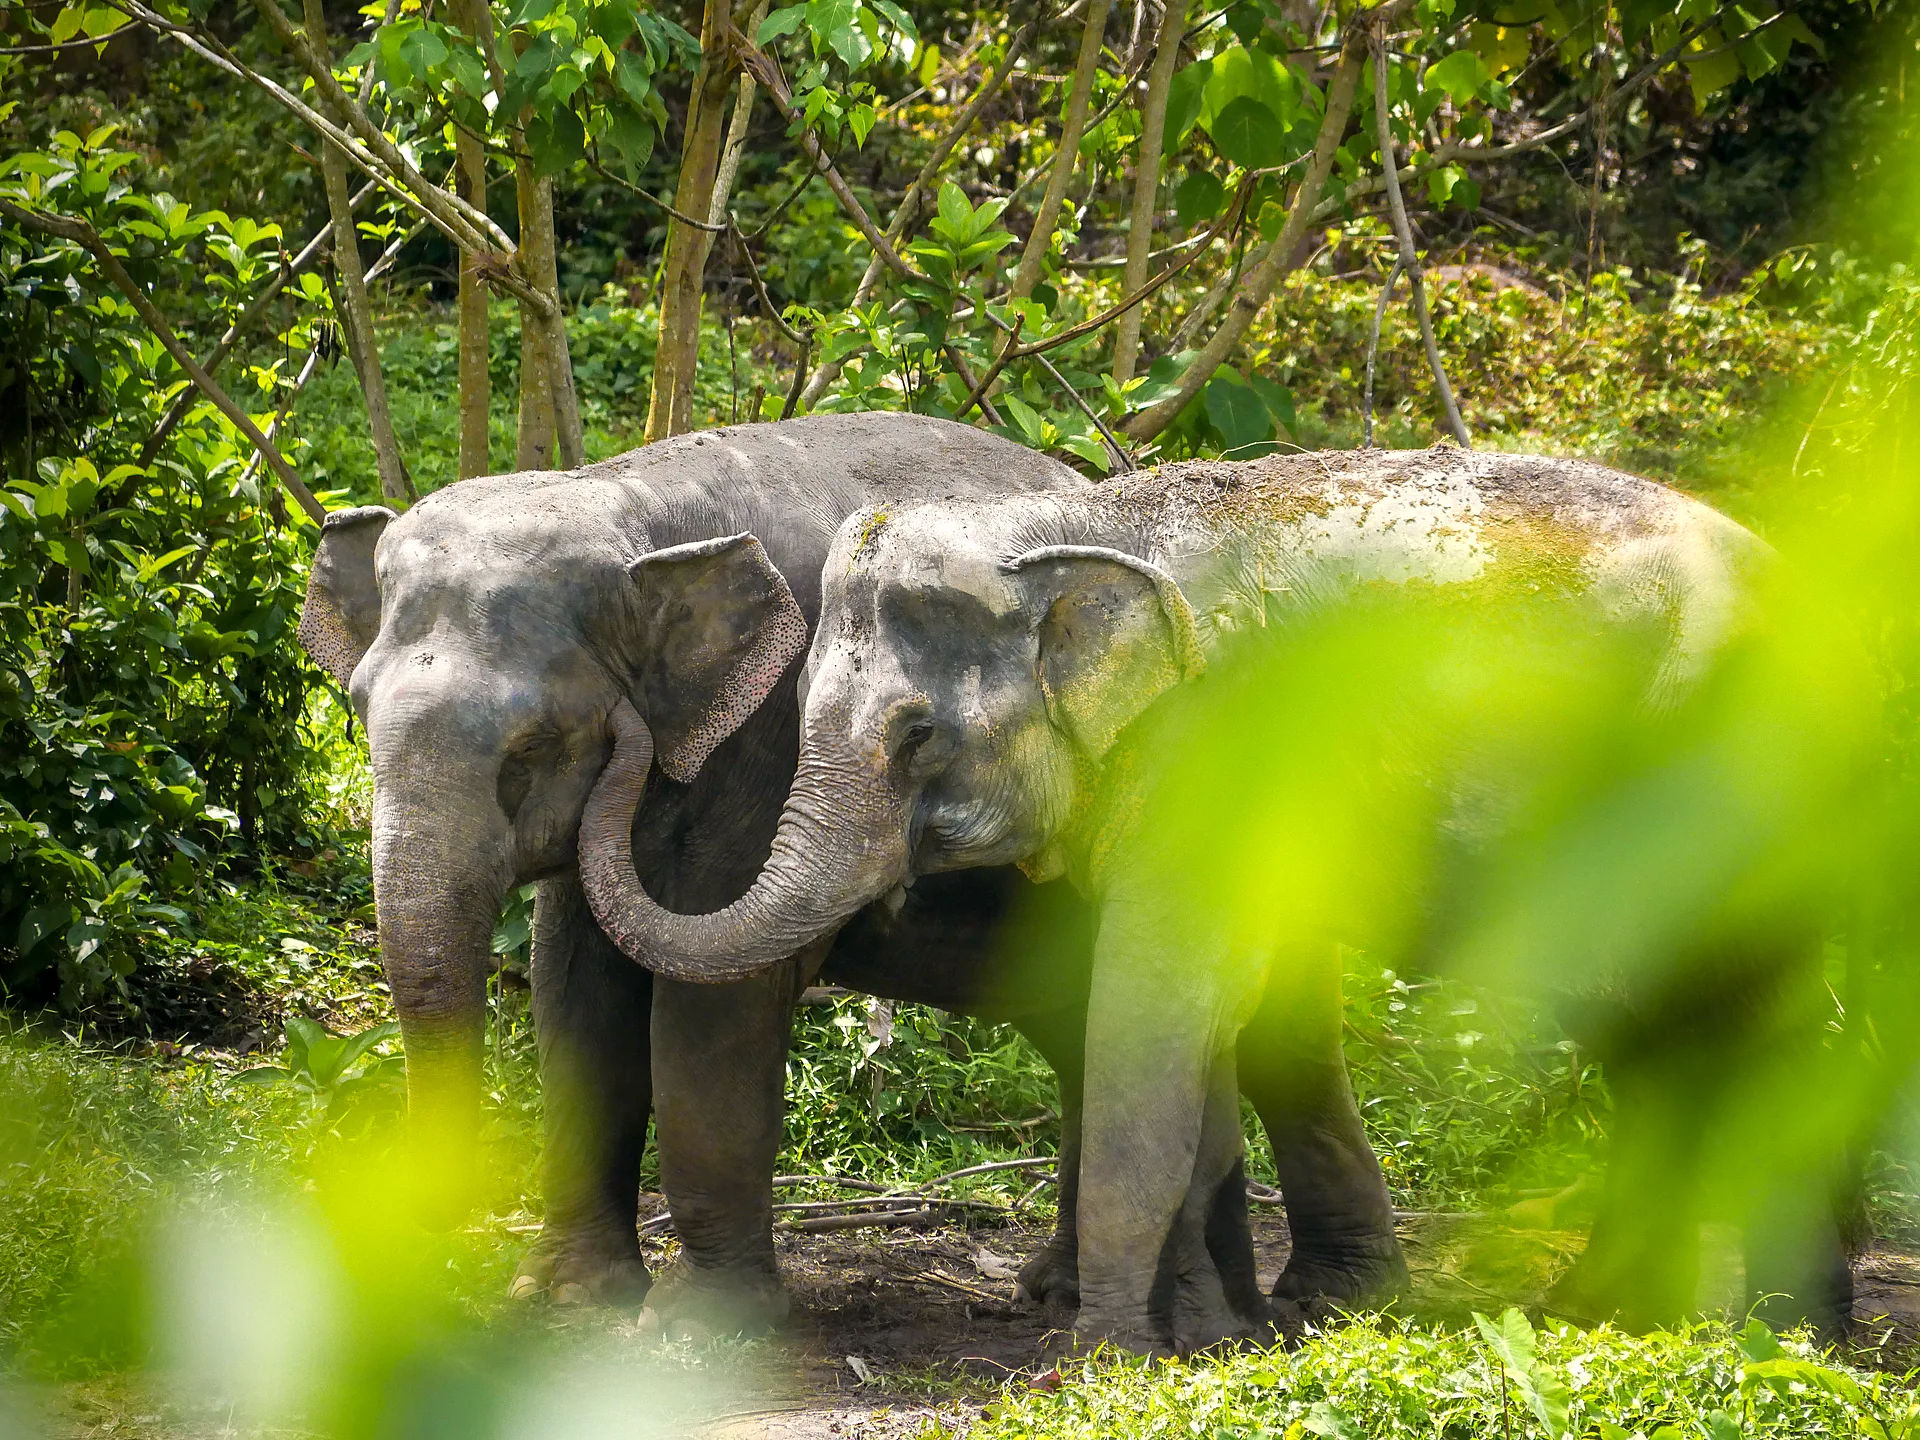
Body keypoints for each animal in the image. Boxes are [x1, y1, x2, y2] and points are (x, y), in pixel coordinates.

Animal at [577, 446, 1852, 1350]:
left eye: (919, 734)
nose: (626, 728)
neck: (1084, 532)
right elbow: (1218, 1016)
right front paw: (1206, 1330)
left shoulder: (1217, 754)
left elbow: (1154, 996)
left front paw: (1102, 1352)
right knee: (1675, 1033)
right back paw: (1615, 1313)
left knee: (1752, 1026)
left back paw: (1788, 1334)